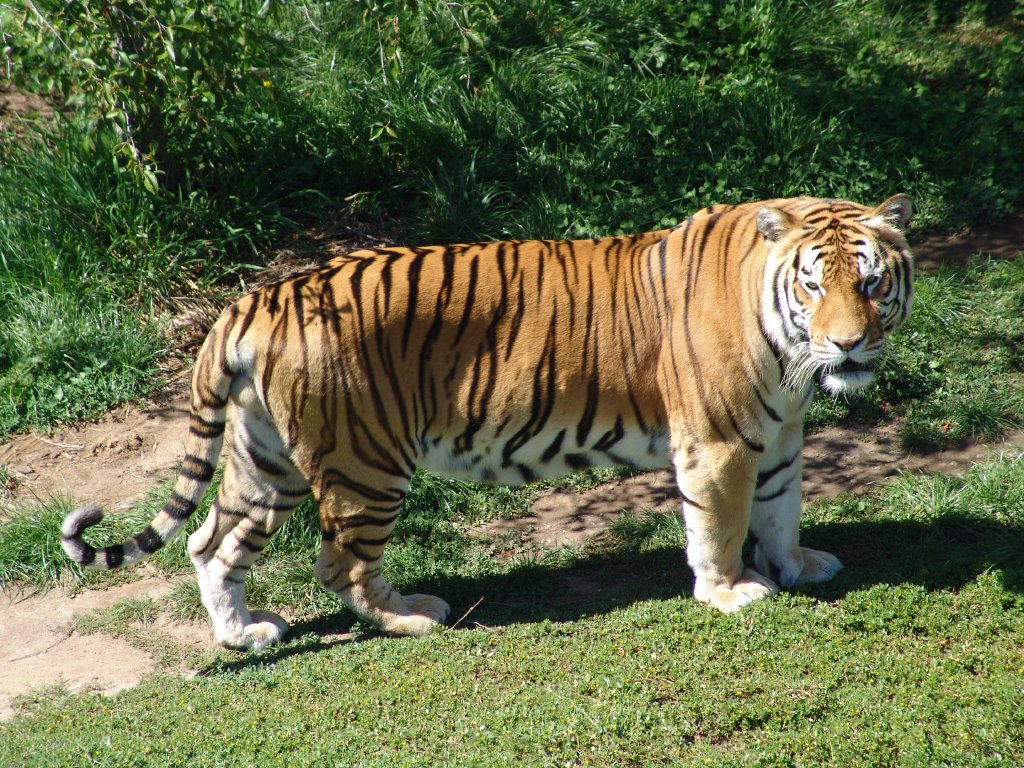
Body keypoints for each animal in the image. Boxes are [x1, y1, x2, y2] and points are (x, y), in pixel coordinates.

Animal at [61, 194, 914, 651]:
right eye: (813, 287)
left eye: (872, 283)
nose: (849, 343)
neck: (788, 348)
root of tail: (256, 298)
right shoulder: (717, 444)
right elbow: (723, 525)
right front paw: (731, 591)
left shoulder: (778, 439)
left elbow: (781, 512)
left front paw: (797, 566)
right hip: (365, 464)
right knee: (339, 563)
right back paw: (413, 618)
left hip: (266, 459)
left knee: (212, 543)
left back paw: (244, 634)